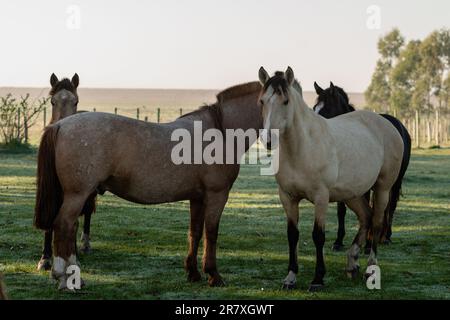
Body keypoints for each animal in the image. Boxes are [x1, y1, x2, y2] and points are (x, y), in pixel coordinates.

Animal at [34, 81, 264, 288]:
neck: (219, 131)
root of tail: (60, 124)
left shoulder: (198, 197)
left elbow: (196, 232)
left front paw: (193, 273)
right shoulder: (217, 195)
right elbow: (211, 233)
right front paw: (214, 275)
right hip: (77, 194)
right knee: (64, 225)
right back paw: (67, 278)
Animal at [312, 81, 412, 251]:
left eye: (327, 109)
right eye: (314, 108)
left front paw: (367, 244)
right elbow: (342, 211)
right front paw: (339, 241)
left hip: (395, 181)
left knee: (391, 205)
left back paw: (386, 236)